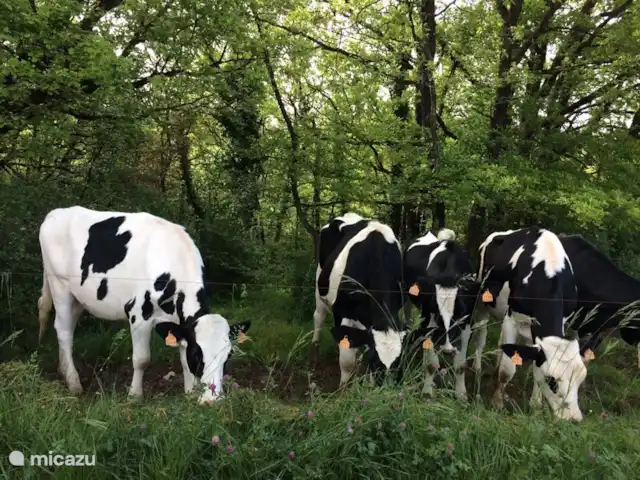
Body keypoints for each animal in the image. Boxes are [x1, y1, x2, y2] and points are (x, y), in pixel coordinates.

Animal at [37, 206, 251, 404]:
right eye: (198, 355)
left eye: (228, 356)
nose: (213, 400)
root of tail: (56, 213)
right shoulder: (138, 313)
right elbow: (141, 359)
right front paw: (135, 395)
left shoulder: (180, 324)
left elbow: (182, 357)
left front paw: (190, 392)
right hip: (59, 285)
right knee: (63, 330)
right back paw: (73, 383)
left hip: (78, 296)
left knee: (69, 327)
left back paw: (64, 369)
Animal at [310, 212, 408, 386]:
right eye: (375, 361)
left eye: (399, 361)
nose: (387, 389)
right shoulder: (344, 313)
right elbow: (347, 360)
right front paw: (344, 387)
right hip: (320, 283)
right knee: (318, 317)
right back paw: (314, 356)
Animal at [402, 228, 484, 399]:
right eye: (436, 310)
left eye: (460, 312)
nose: (448, 350)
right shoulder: (429, 321)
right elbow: (431, 365)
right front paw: (427, 391)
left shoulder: (467, 325)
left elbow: (460, 365)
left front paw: (461, 394)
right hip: (406, 294)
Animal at [473, 227, 588, 421]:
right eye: (552, 381)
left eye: (581, 379)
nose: (574, 419)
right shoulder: (512, 319)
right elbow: (507, 369)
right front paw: (497, 403)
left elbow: (534, 366)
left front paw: (536, 408)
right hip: (482, 301)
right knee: (481, 337)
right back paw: (477, 368)